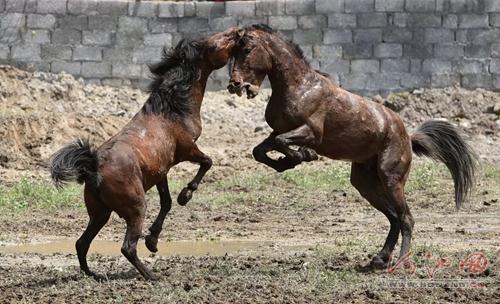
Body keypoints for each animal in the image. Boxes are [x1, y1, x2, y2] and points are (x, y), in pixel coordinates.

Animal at [49, 27, 242, 280]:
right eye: (216, 42)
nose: (238, 32)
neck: (170, 108)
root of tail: (93, 166)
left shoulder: (161, 171)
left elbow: (167, 202)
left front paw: (152, 240)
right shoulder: (187, 150)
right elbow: (207, 162)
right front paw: (186, 195)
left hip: (100, 214)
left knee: (82, 243)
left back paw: (95, 275)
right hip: (135, 208)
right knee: (127, 247)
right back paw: (151, 275)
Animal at [227, 25, 476, 270]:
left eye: (247, 50)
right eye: (233, 52)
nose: (234, 85)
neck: (300, 87)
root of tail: (408, 136)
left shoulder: (311, 132)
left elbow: (283, 143)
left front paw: (304, 155)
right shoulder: (276, 132)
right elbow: (260, 150)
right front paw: (287, 162)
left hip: (391, 180)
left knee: (406, 218)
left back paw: (400, 263)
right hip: (365, 184)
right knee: (394, 217)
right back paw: (380, 259)